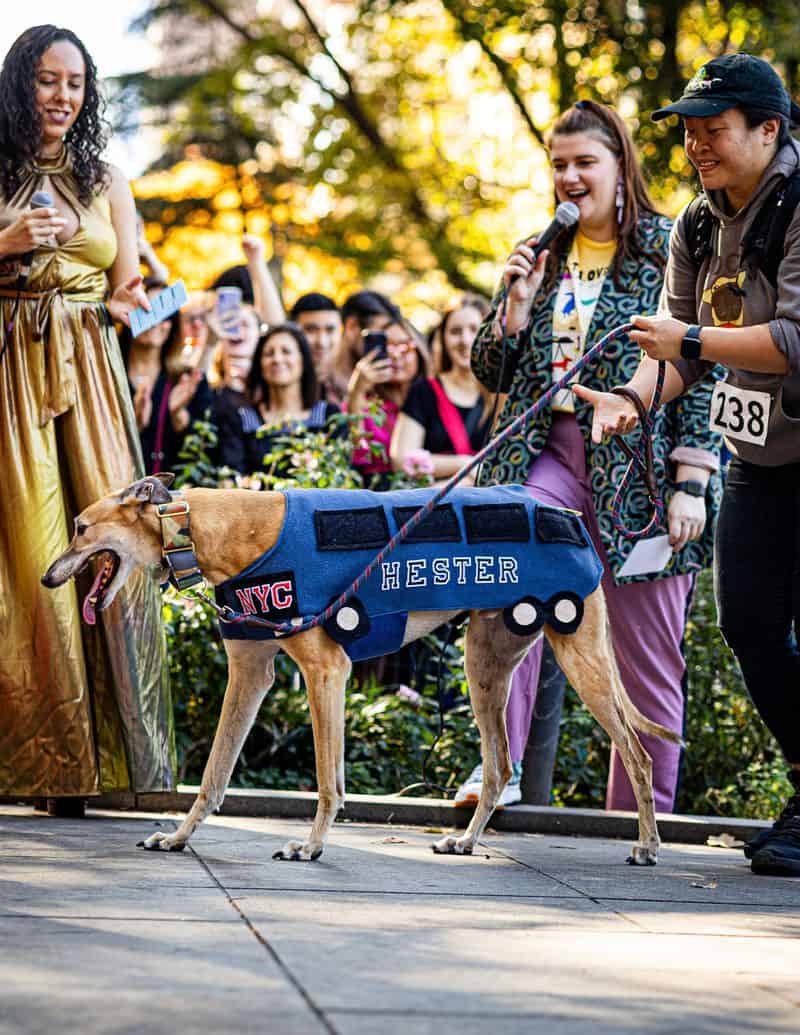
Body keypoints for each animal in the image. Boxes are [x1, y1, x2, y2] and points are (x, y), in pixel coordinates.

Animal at [43, 476, 678, 865]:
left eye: (79, 527)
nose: (48, 578)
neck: (209, 526)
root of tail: (570, 516)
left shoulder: (327, 671)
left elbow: (328, 779)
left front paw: (309, 847)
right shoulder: (250, 674)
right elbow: (214, 774)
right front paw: (177, 837)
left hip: (579, 655)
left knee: (639, 755)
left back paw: (649, 846)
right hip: (485, 666)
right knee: (498, 767)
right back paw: (465, 841)